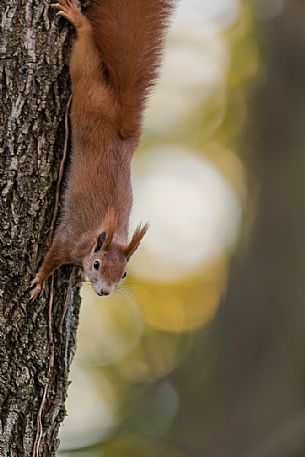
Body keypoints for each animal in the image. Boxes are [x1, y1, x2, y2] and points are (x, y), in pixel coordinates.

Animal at [31, 0, 173, 298]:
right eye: (97, 264)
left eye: (124, 273)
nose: (105, 292)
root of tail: (123, 131)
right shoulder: (68, 239)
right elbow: (52, 256)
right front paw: (40, 279)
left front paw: (76, 277)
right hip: (90, 94)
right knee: (85, 56)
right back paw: (78, 20)